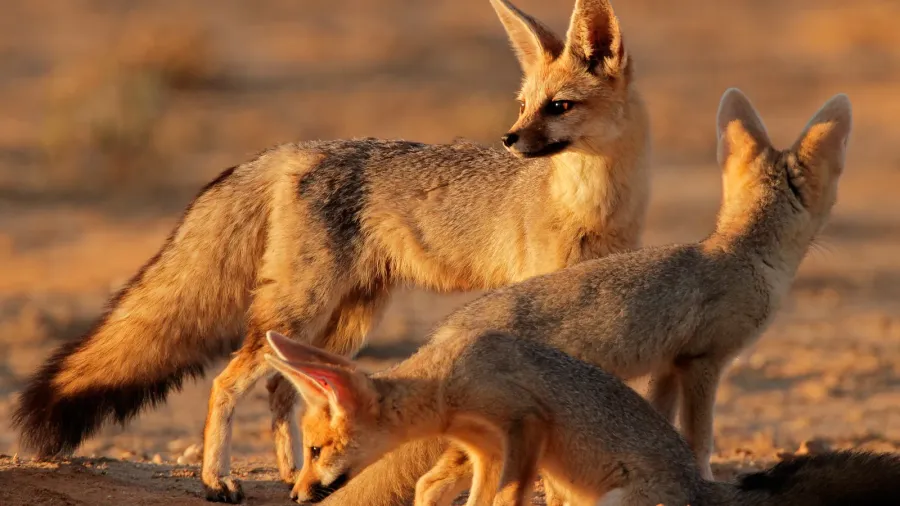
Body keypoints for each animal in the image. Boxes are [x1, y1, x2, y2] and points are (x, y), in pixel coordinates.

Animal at [11, 0, 649, 503]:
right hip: (305, 309)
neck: (594, 202)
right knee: (229, 383)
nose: (510, 140)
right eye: (523, 104)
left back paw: (292, 475)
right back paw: (218, 480)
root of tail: (297, 149)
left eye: (558, 107)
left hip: (346, 322)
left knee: (285, 387)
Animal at [263, 330, 900, 506]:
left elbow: (505, 498)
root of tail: (700, 488)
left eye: (315, 452)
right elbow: (467, 495)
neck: (449, 378)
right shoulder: (485, 450)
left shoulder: (525, 423)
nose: (294, 493)